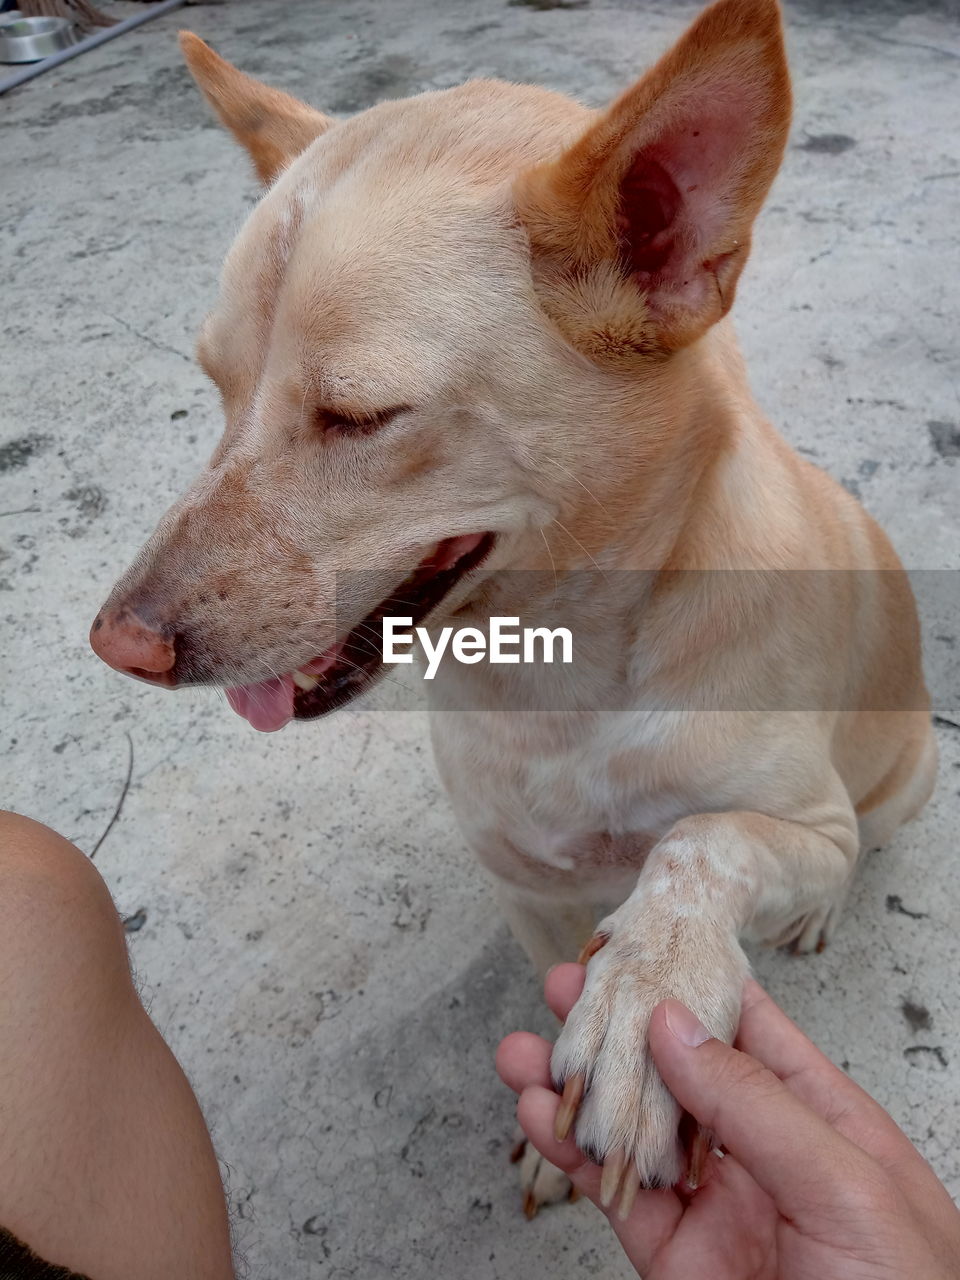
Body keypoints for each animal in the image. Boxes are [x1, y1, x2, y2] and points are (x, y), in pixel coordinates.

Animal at [92, 0, 942, 1218]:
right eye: (216, 387)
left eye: (358, 416)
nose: (118, 644)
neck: (559, 684)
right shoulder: (526, 886)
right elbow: (552, 995)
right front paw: (559, 1130)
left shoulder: (804, 829)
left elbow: (705, 840)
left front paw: (647, 990)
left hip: (906, 775)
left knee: (864, 843)